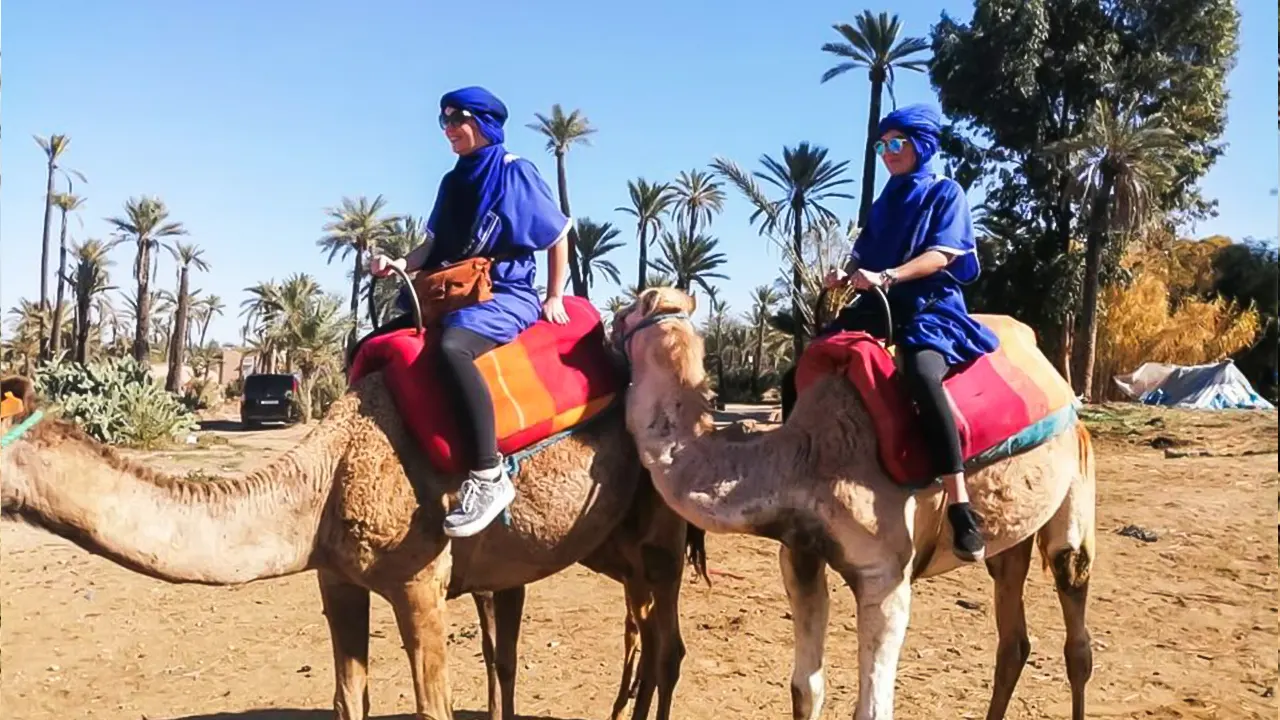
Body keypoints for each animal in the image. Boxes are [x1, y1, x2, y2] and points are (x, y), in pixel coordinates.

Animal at [0, 368, 706, 717]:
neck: (324, 477)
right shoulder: (337, 579)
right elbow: (347, 697)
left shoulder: (420, 585)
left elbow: (432, 706)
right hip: (616, 547)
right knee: (646, 636)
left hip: (661, 537)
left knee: (669, 646)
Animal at [614, 285, 1095, 717]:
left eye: (631, 307)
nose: (610, 321)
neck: (805, 458)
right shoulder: (800, 555)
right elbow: (805, 688)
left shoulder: (886, 577)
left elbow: (872, 708)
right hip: (1011, 534)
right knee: (1012, 639)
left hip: (1075, 479)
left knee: (1074, 610)